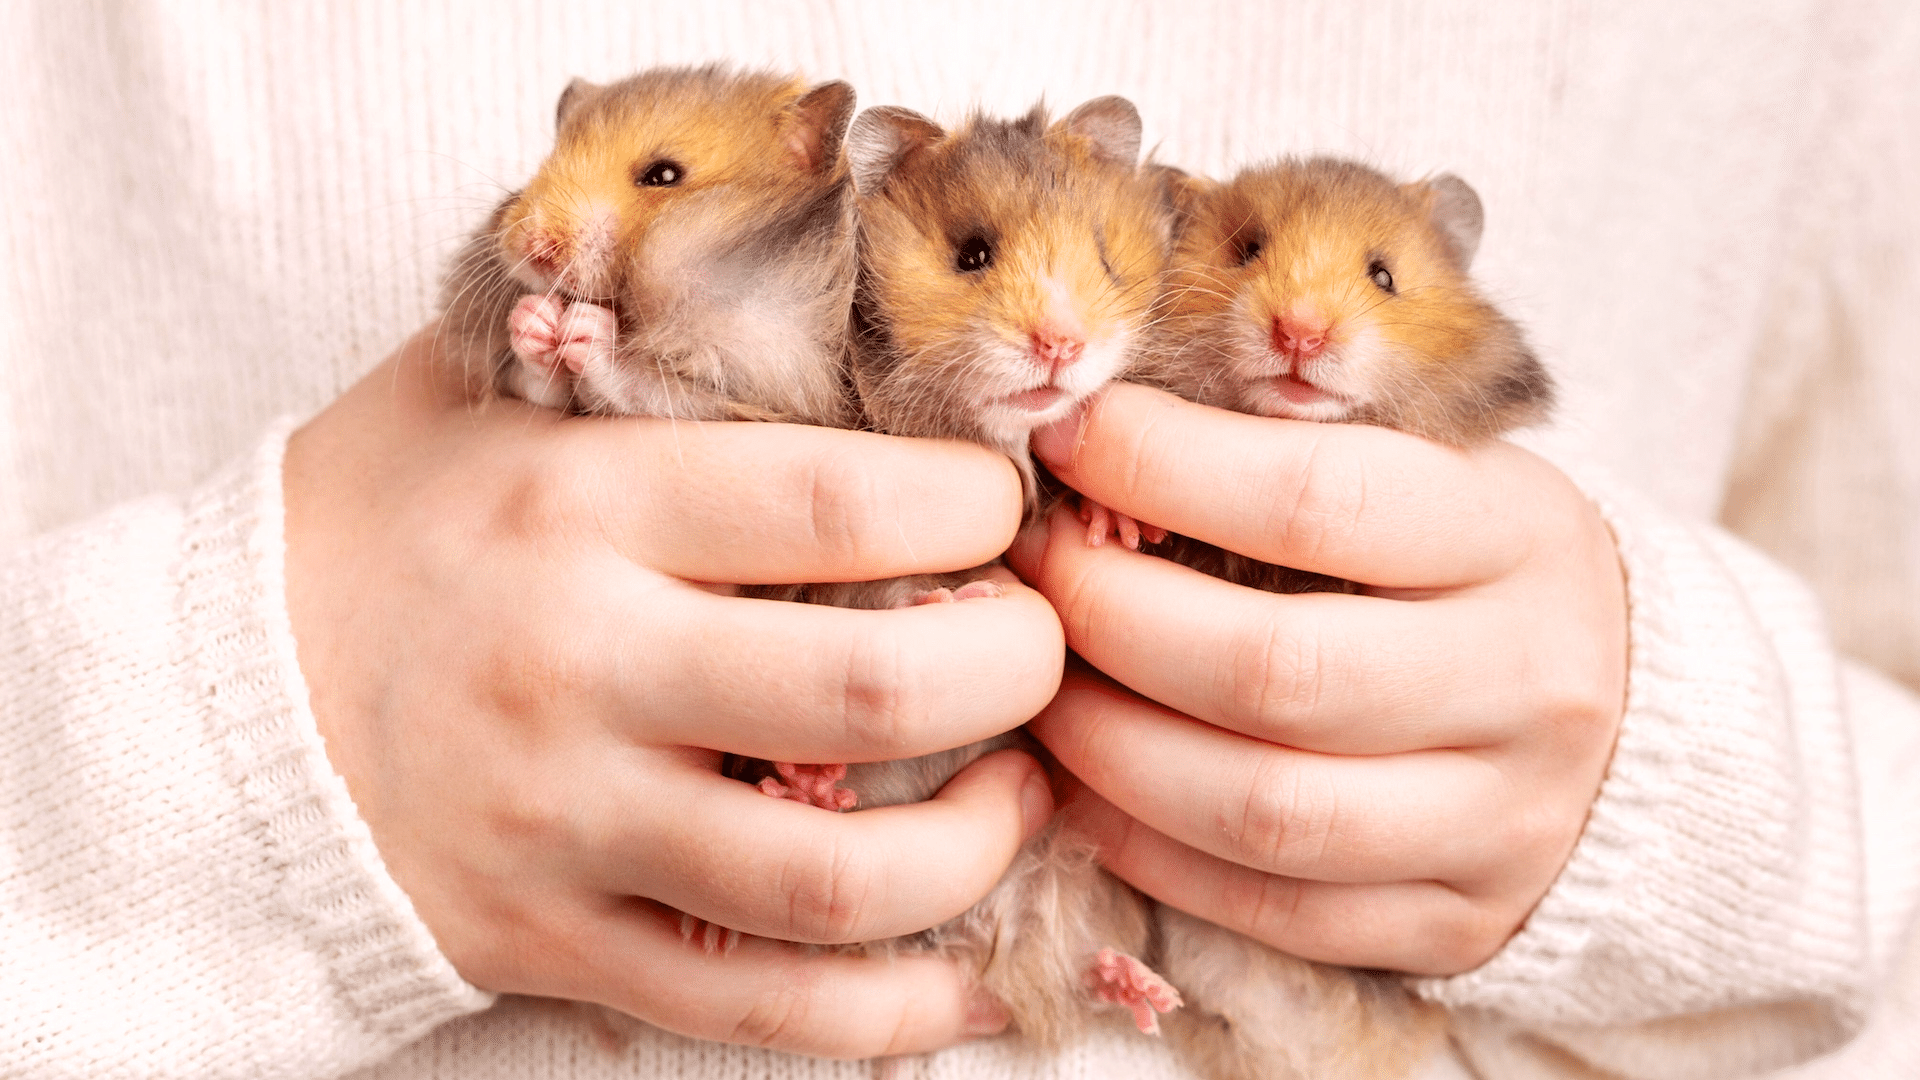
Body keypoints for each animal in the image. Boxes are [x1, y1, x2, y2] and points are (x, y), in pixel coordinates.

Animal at [438, 64, 859, 427]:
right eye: (545, 163)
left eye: (665, 175)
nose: (535, 249)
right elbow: (539, 387)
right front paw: (534, 317)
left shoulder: (776, 389)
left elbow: (647, 387)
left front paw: (582, 327)